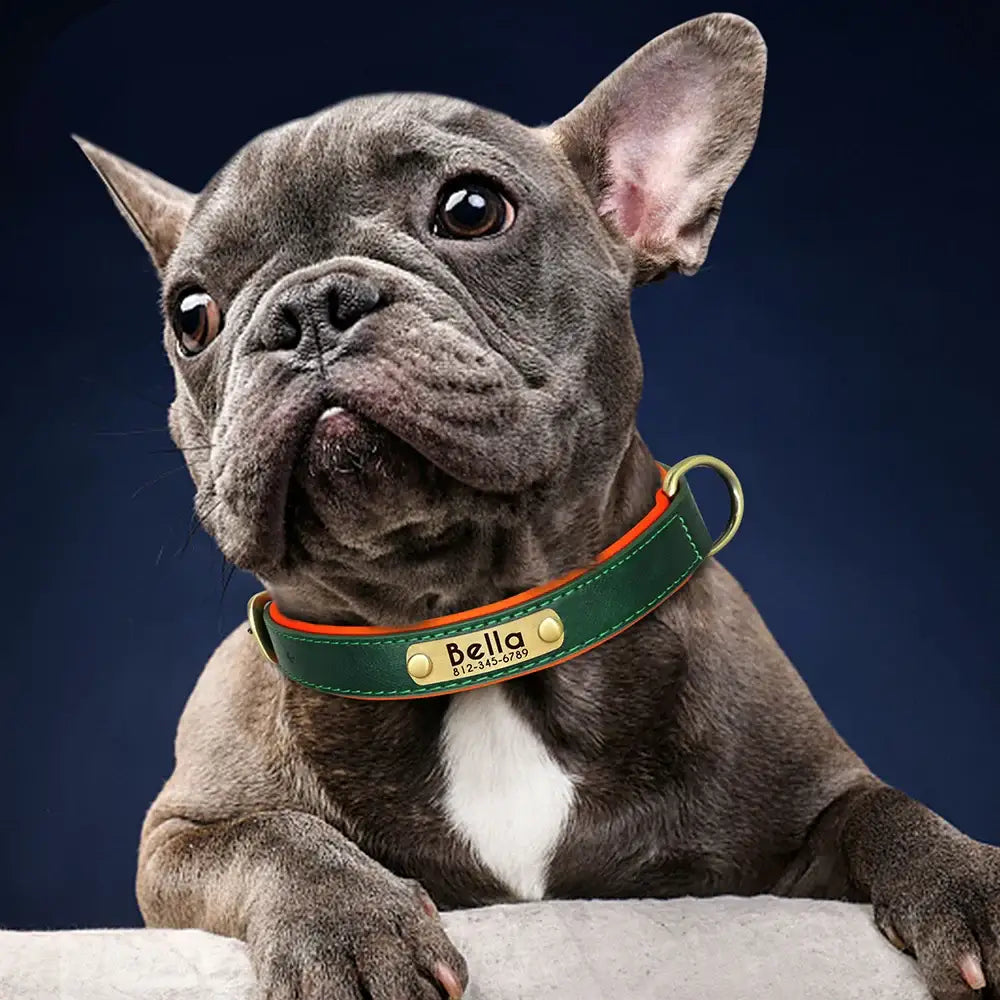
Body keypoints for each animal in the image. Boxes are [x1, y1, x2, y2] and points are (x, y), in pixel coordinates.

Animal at [76, 13, 1000, 1000]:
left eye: (471, 209)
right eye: (191, 315)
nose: (309, 309)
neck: (474, 632)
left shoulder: (801, 824)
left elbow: (885, 809)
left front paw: (967, 881)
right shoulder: (180, 835)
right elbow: (274, 838)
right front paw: (350, 932)